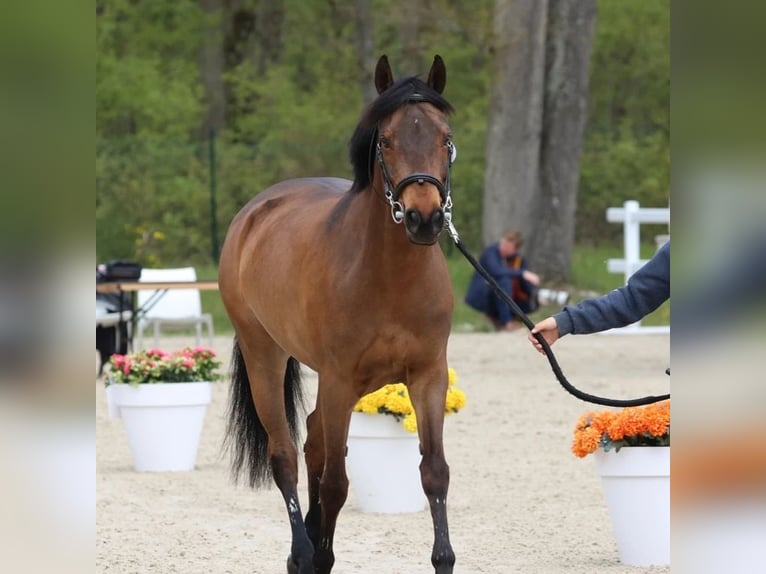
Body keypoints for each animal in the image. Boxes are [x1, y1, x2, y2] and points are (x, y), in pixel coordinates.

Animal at [222, 55, 460, 574]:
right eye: (386, 139)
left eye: (445, 138)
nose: (425, 218)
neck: (390, 277)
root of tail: (253, 213)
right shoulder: (339, 379)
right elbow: (335, 484)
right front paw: (319, 556)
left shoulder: (428, 376)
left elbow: (434, 472)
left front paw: (444, 559)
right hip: (266, 357)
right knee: (287, 454)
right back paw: (301, 551)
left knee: (312, 440)